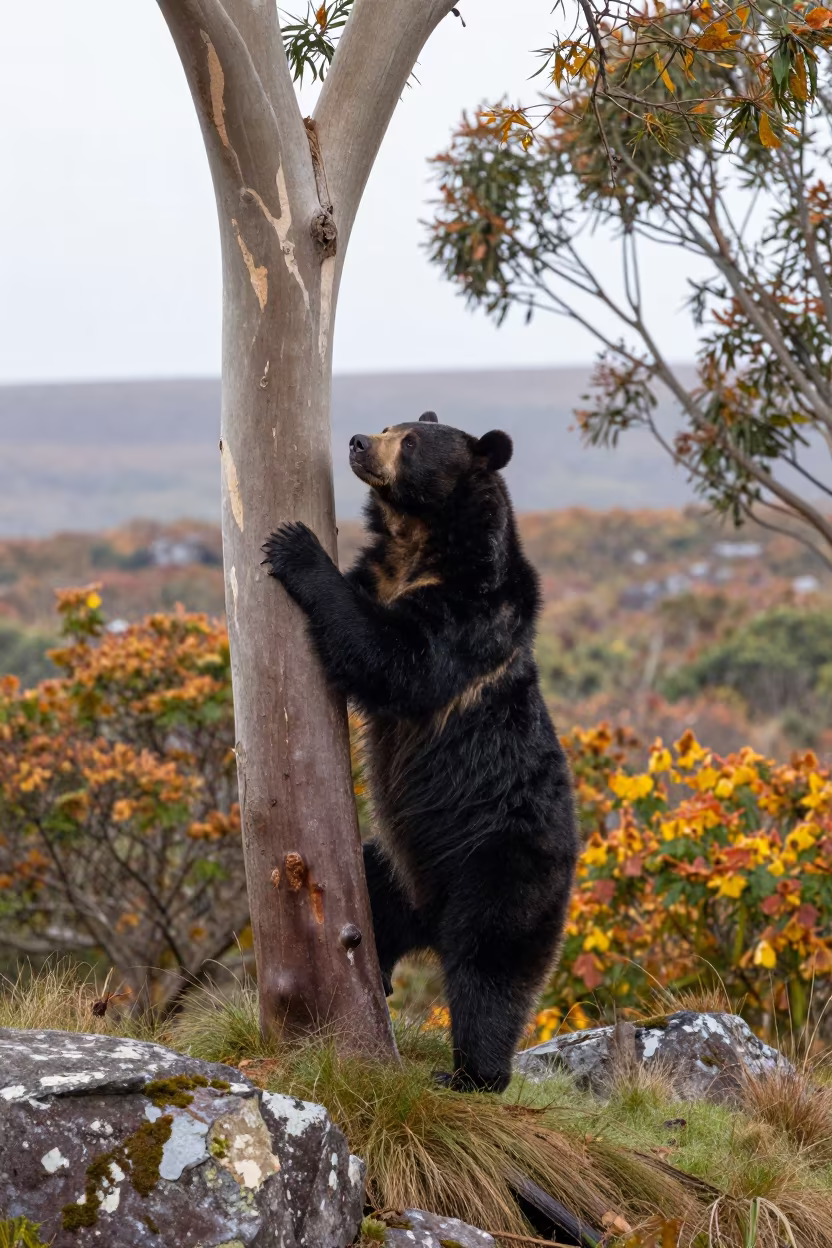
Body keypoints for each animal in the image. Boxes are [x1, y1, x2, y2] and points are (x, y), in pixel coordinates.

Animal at [263, 410, 578, 1092]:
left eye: (410, 442)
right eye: (391, 426)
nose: (357, 442)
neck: (421, 545)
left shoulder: (466, 616)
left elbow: (392, 657)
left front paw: (293, 543)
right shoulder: (387, 574)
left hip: (500, 866)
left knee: (490, 968)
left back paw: (470, 1074)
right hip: (398, 864)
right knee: (374, 908)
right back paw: (378, 972)